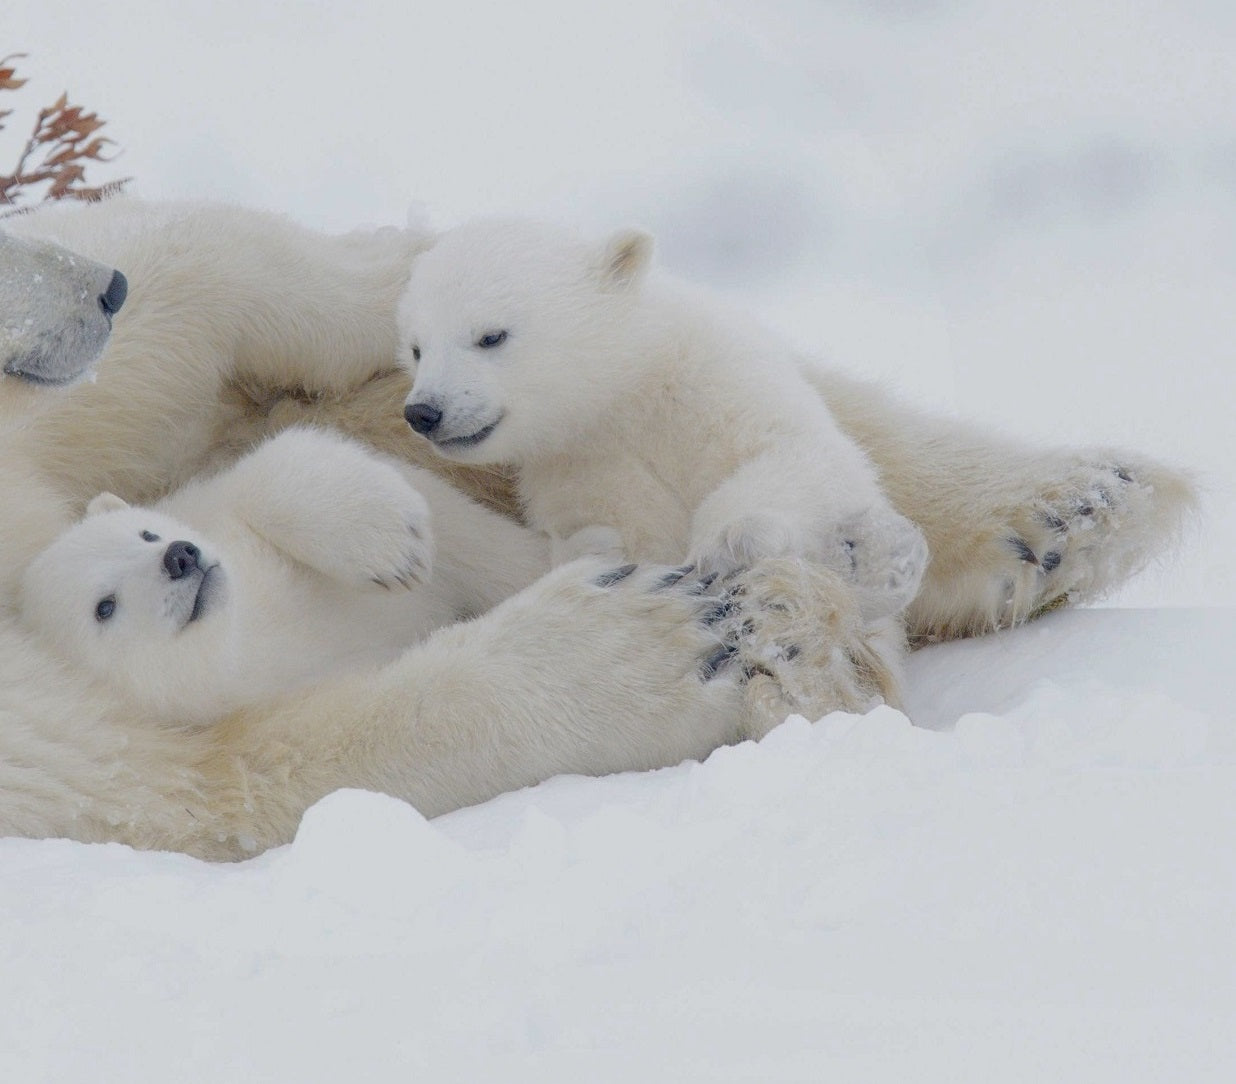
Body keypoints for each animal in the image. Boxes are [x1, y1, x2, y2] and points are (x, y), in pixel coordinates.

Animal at [18, 427, 551, 721]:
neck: (250, 630)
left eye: (146, 532)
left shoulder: (213, 506)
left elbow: (273, 466)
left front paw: (392, 550)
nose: (180, 557)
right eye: (104, 607)